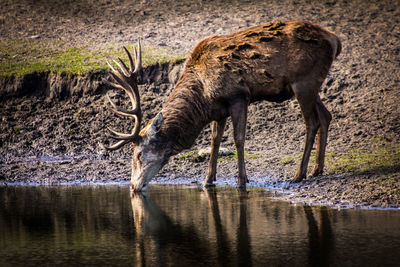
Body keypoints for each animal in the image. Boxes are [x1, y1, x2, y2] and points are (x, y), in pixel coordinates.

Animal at [100, 19, 340, 192]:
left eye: (138, 155)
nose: (133, 186)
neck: (203, 96)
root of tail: (335, 39)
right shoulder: (219, 109)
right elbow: (215, 140)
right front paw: (207, 180)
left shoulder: (239, 96)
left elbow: (239, 138)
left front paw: (242, 180)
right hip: (311, 84)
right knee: (326, 116)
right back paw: (317, 169)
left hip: (304, 81)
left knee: (312, 123)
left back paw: (300, 174)